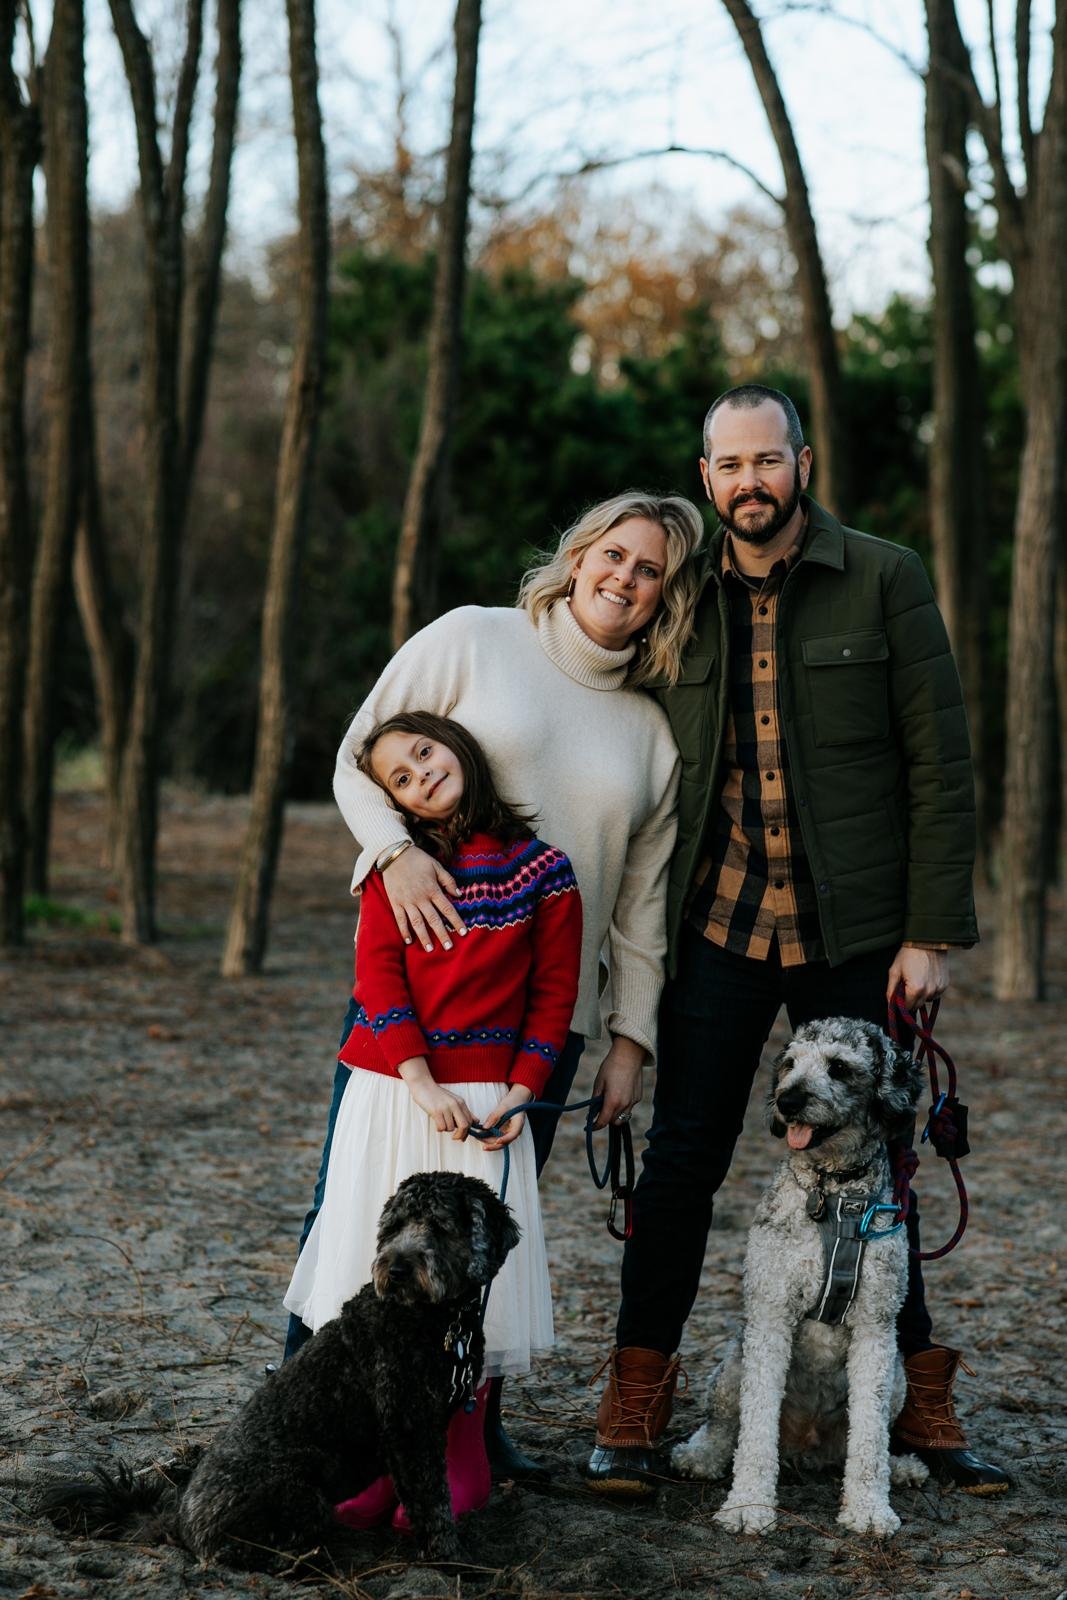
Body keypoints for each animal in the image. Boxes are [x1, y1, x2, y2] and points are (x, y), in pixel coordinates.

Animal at [45, 1171, 521, 1568]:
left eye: (439, 1226)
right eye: (394, 1227)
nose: (397, 1269)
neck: (432, 1317)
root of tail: (179, 1520)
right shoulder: (409, 1429)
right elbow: (432, 1502)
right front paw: (452, 1559)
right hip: (297, 1487)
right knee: (239, 1550)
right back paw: (306, 1560)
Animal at [675, 1024, 934, 1536]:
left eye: (838, 1066)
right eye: (790, 1063)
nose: (787, 1100)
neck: (834, 1195)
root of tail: (806, 1445)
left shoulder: (876, 1329)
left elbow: (870, 1437)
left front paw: (868, 1508)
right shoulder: (770, 1315)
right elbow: (755, 1429)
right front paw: (748, 1507)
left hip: (898, 1376)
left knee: (867, 1437)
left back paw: (902, 1467)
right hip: (733, 1364)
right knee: (724, 1426)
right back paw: (700, 1455)